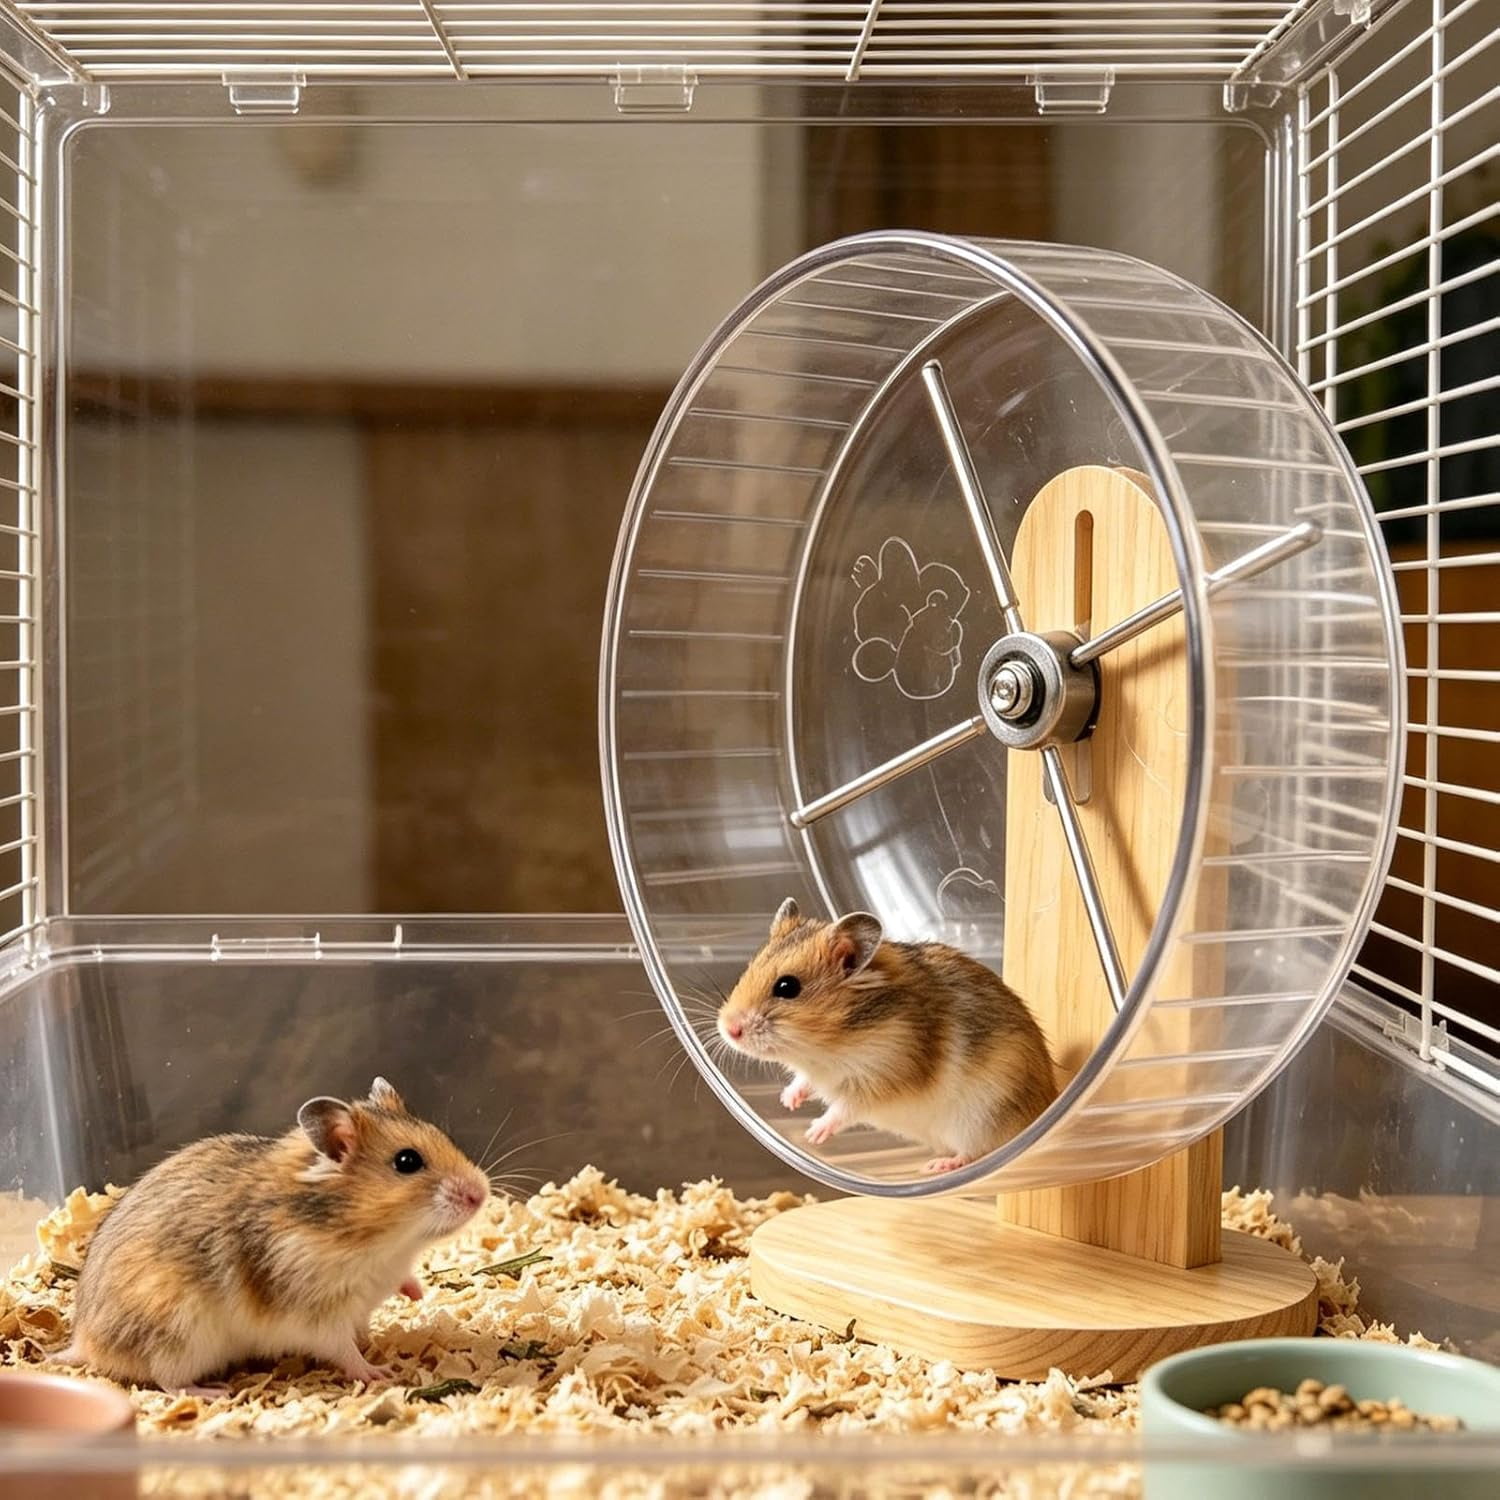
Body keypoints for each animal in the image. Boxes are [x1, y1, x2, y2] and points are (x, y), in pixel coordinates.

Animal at [50, 1078, 489, 1393]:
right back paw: (211, 1393)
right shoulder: (315, 1312)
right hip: (175, 1335)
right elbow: (342, 1349)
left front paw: (418, 1295)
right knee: (165, 1380)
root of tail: (81, 1341)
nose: (481, 1193)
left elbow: (400, 1285)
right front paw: (379, 1372)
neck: (379, 1241)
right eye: (407, 1161)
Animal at [717, 899, 1058, 1173]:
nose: (728, 1029)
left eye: (787, 987)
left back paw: (937, 1165)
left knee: (977, 1153)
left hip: (981, 1119)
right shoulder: (819, 1072)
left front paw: (813, 1134)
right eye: (748, 969)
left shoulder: (883, 1075)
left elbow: (844, 1108)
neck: (828, 1046)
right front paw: (788, 1102)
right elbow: (803, 1082)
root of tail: (1047, 1104)